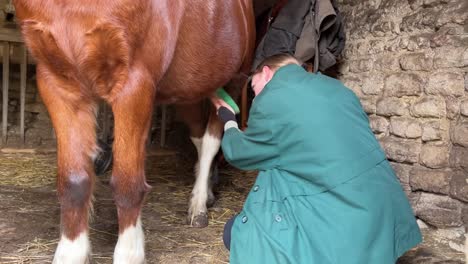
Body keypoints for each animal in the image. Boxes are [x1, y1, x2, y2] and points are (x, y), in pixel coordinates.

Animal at [13, 1, 256, 262]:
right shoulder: (58, 84)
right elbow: (74, 181)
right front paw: (72, 253)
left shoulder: (134, 85)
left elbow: (127, 184)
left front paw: (130, 253)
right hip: (190, 90)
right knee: (200, 138)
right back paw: (207, 192)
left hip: (235, 80)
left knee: (212, 140)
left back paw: (198, 207)